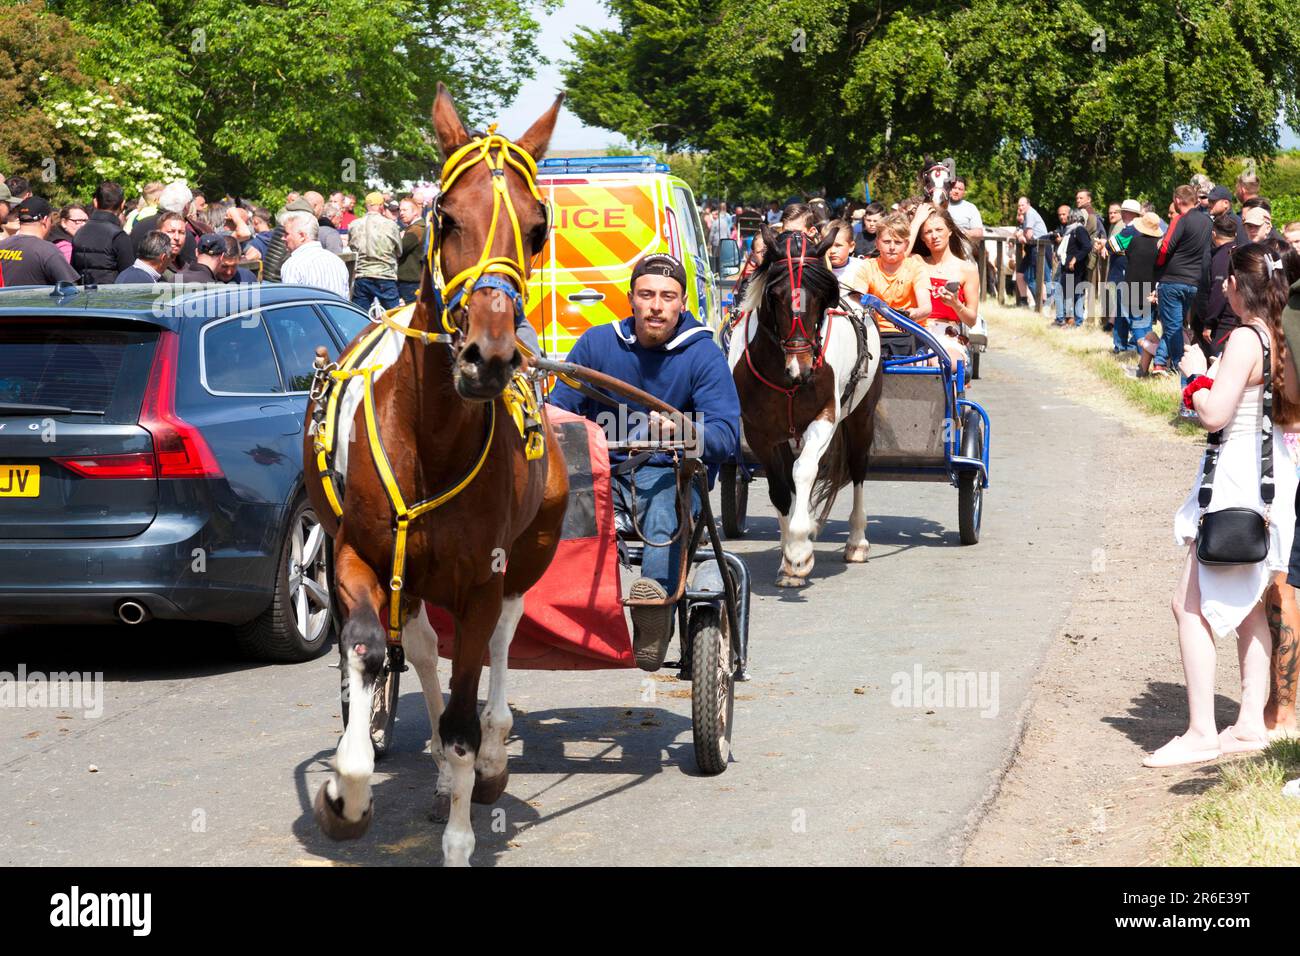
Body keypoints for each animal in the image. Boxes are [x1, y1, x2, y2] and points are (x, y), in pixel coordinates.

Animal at [302, 84, 568, 866]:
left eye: (537, 229)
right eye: (446, 218)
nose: (490, 356)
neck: (431, 438)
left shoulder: (482, 576)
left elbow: (464, 714)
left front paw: (459, 827)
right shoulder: (357, 556)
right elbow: (368, 652)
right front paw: (346, 794)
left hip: (529, 552)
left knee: (504, 642)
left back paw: (493, 753)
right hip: (410, 575)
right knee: (419, 649)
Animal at [728, 227, 884, 587]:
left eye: (821, 295)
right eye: (775, 295)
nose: (801, 366)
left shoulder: (825, 416)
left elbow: (805, 471)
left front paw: (799, 547)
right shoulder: (759, 433)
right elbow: (780, 489)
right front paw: (789, 560)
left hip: (860, 417)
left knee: (857, 468)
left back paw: (857, 541)